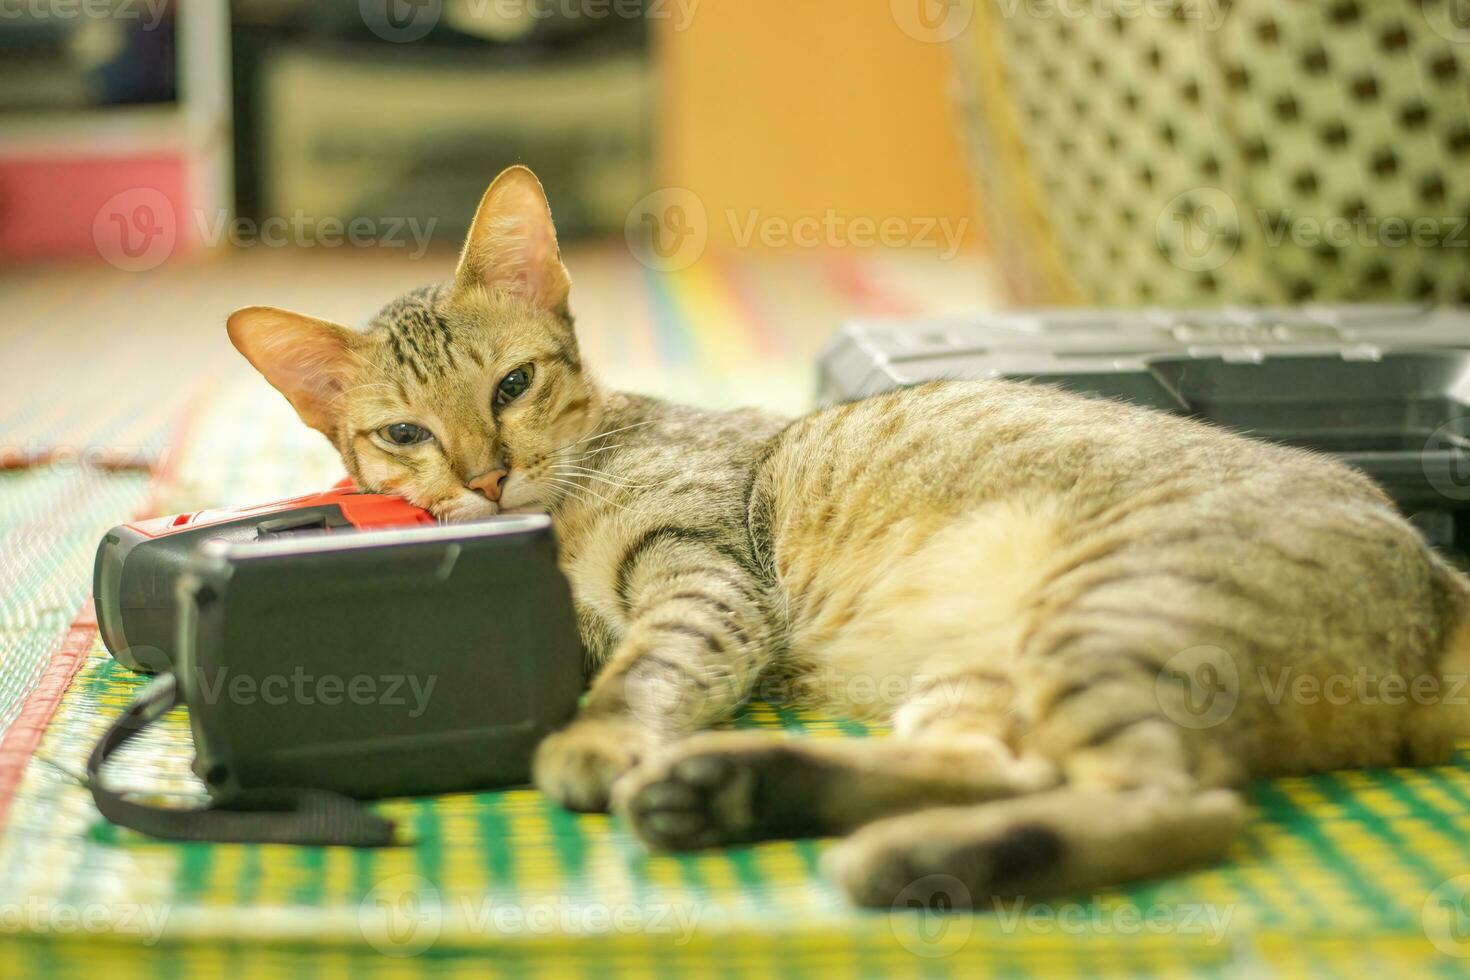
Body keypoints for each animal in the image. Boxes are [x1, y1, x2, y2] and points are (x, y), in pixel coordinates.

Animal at [226, 168, 1470, 910]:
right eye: (402, 433)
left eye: (514, 385)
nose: (486, 474)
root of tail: (1440, 584)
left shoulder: (701, 571)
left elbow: (645, 664)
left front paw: (598, 733)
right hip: (989, 673)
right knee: (1001, 768)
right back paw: (752, 793)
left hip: (1113, 611)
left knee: (1180, 806)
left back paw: (903, 853)